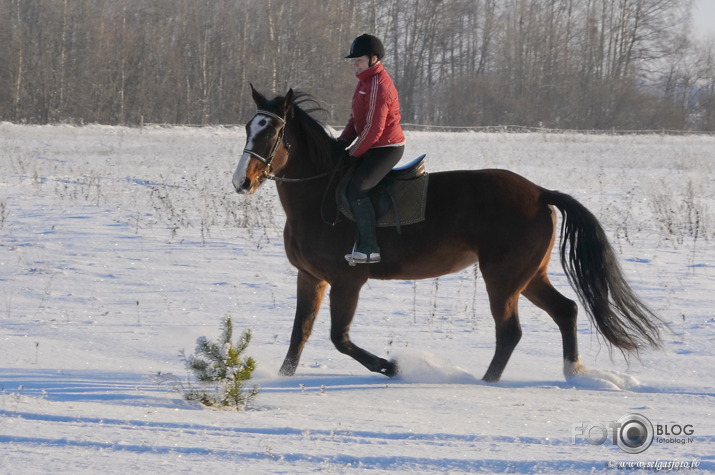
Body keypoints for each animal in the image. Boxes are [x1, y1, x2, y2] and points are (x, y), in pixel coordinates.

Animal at [235, 85, 664, 384]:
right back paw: (571, 372)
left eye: (272, 131)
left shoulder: (346, 281)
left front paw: (391, 366)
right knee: (566, 311)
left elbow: (339, 338)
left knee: (510, 332)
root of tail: (540, 192)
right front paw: (284, 378)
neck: (319, 195)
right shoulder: (311, 278)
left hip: (502, 278)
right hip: (528, 276)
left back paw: (486, 382)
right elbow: (300, 333)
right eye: (248, 127)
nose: (242, 181)